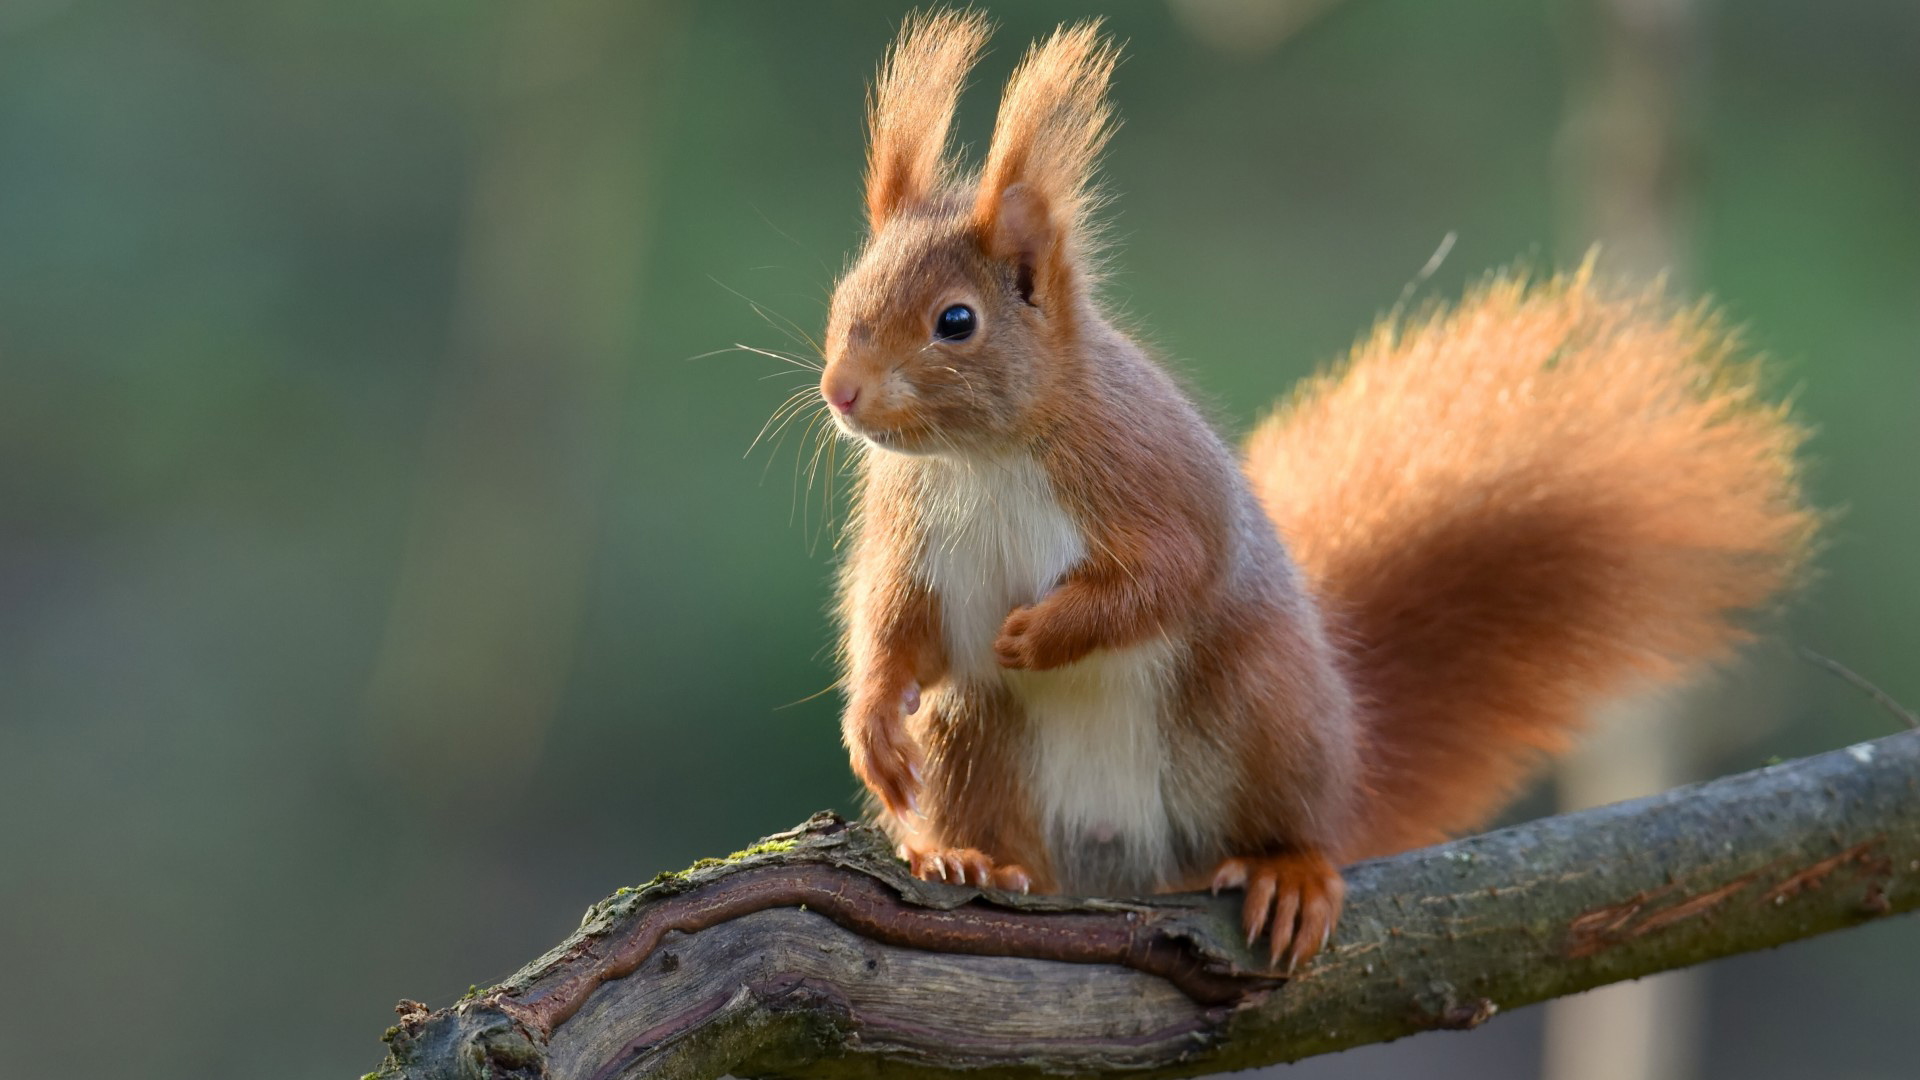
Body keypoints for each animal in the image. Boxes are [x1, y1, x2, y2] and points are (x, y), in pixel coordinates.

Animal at [810, 10, 1812, 968]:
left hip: (1263, 708)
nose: (840, 392)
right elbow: (892, 623)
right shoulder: (906, 527)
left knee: (1287, 821)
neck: (981, 457)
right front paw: (873, 728)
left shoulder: (1149, 473)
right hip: (974, 734)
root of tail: (1127, 861)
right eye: (844, 292)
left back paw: (1289, 871)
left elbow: (1169, 573)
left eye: (956, 322)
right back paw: (966, 856)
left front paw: (1041, 633)